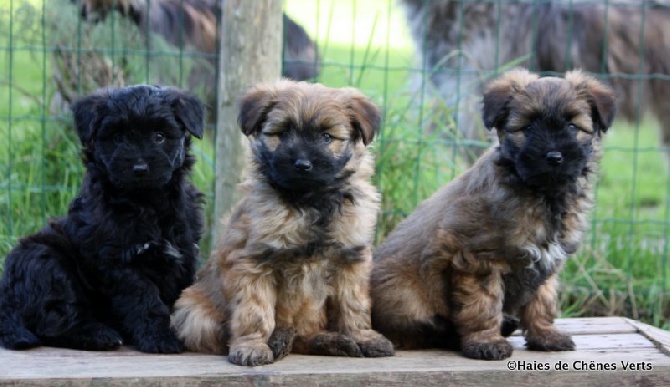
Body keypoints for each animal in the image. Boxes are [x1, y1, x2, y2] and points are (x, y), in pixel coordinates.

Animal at [0, 85, 205, 354]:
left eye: (159, 136)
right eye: (117, 138)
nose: (140, 168)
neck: (146, 202)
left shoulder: (185, 252)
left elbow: (184, 292)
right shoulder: (120, 262)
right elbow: (145, 300)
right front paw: (160, 338)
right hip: (43, 259)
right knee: (54, 322)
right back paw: (98, 335)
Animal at [171, 79, 396, 366]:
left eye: (326, 137)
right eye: (283, 133)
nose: (302, 164)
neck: (309, 201)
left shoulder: (350, 260)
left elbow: (353, 304)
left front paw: (363, 337)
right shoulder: (255, 262)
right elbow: (255, 311)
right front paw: (252, 346)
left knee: (305, 335)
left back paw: (331, 341)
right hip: (191, 312)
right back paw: (281, 339)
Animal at [372, 69, 620, 360]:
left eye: (572, 126)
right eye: (527, 127)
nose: (553, 156)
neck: (541, 195)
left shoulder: (546, 263)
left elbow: (542, 301)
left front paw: (545, 335)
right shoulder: (478, 258)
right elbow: (483, 305)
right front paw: (486, 342)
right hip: (404, 294)